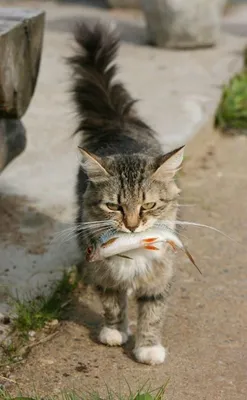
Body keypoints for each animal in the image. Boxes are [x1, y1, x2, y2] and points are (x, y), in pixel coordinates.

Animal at [67, 21, 183, 366]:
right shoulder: (102, 270)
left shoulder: (160, 274)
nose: (131, 226)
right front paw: (115, 332)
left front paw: (148, 348)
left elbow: (152, 312)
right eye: (113, 207)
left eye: (149, 205)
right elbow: (112, 303)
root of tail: (117, 123)